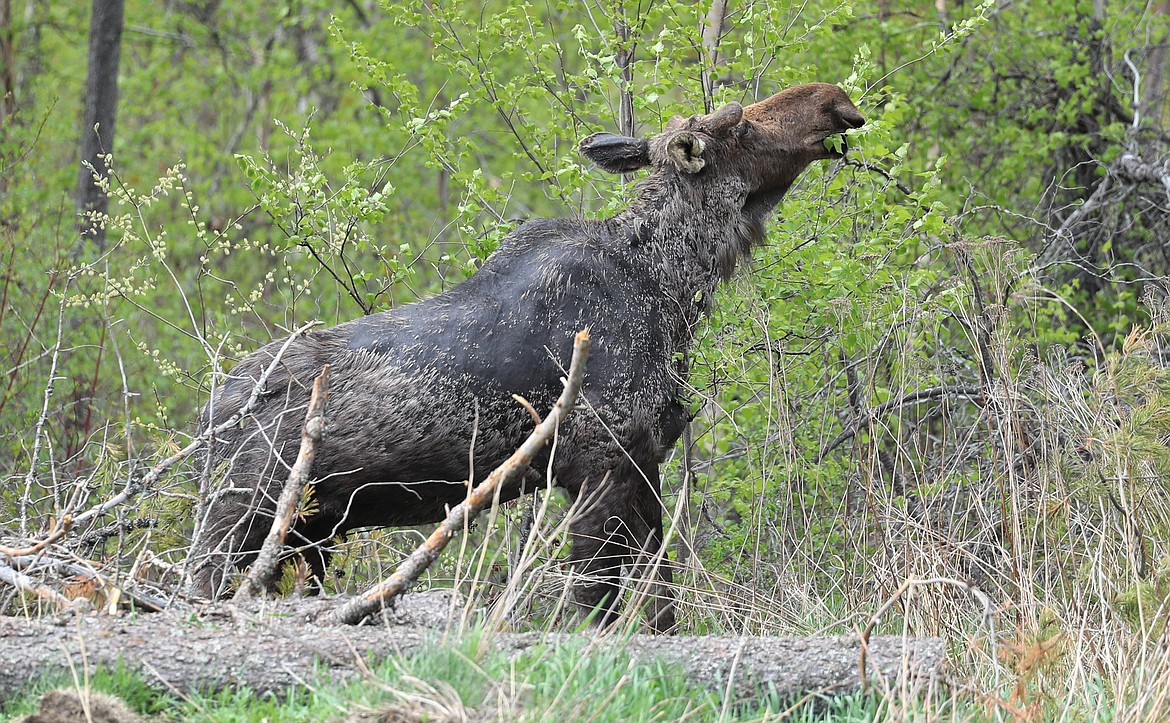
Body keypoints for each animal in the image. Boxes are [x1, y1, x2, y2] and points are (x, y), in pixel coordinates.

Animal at [187, 81, 865, 627]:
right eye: (741, 126)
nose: (833, 100)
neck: (674, 288)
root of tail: (206, 415)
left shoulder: (642, 461)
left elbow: (662, 598)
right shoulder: (597, 464)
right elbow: (597, 599)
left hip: (312, 533)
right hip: (238, 519)